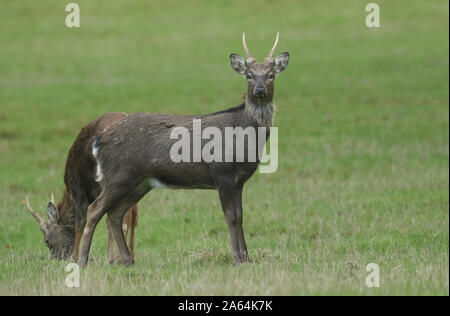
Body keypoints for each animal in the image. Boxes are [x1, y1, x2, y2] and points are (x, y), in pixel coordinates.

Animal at [25, 112, 139, 262]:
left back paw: (113, 258)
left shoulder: (78, 190)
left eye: (47, 241)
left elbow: (80, 222)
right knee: (131, 215)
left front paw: (75, 257)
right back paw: (126, 256)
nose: (55, 258)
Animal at [77, 32, 288, 270]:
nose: (259, 90)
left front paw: (246, 258)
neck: (243, 134)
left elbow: (241, 216)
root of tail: (99, 141)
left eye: (270, 75)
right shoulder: (222, 173)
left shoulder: (239, 180)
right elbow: (231, 217)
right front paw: (238, 258)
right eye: (249, 75)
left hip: (140, 182)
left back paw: (128, 260)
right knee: (94, 209)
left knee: (115, 213)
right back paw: (82, 261)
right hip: (119, 175)